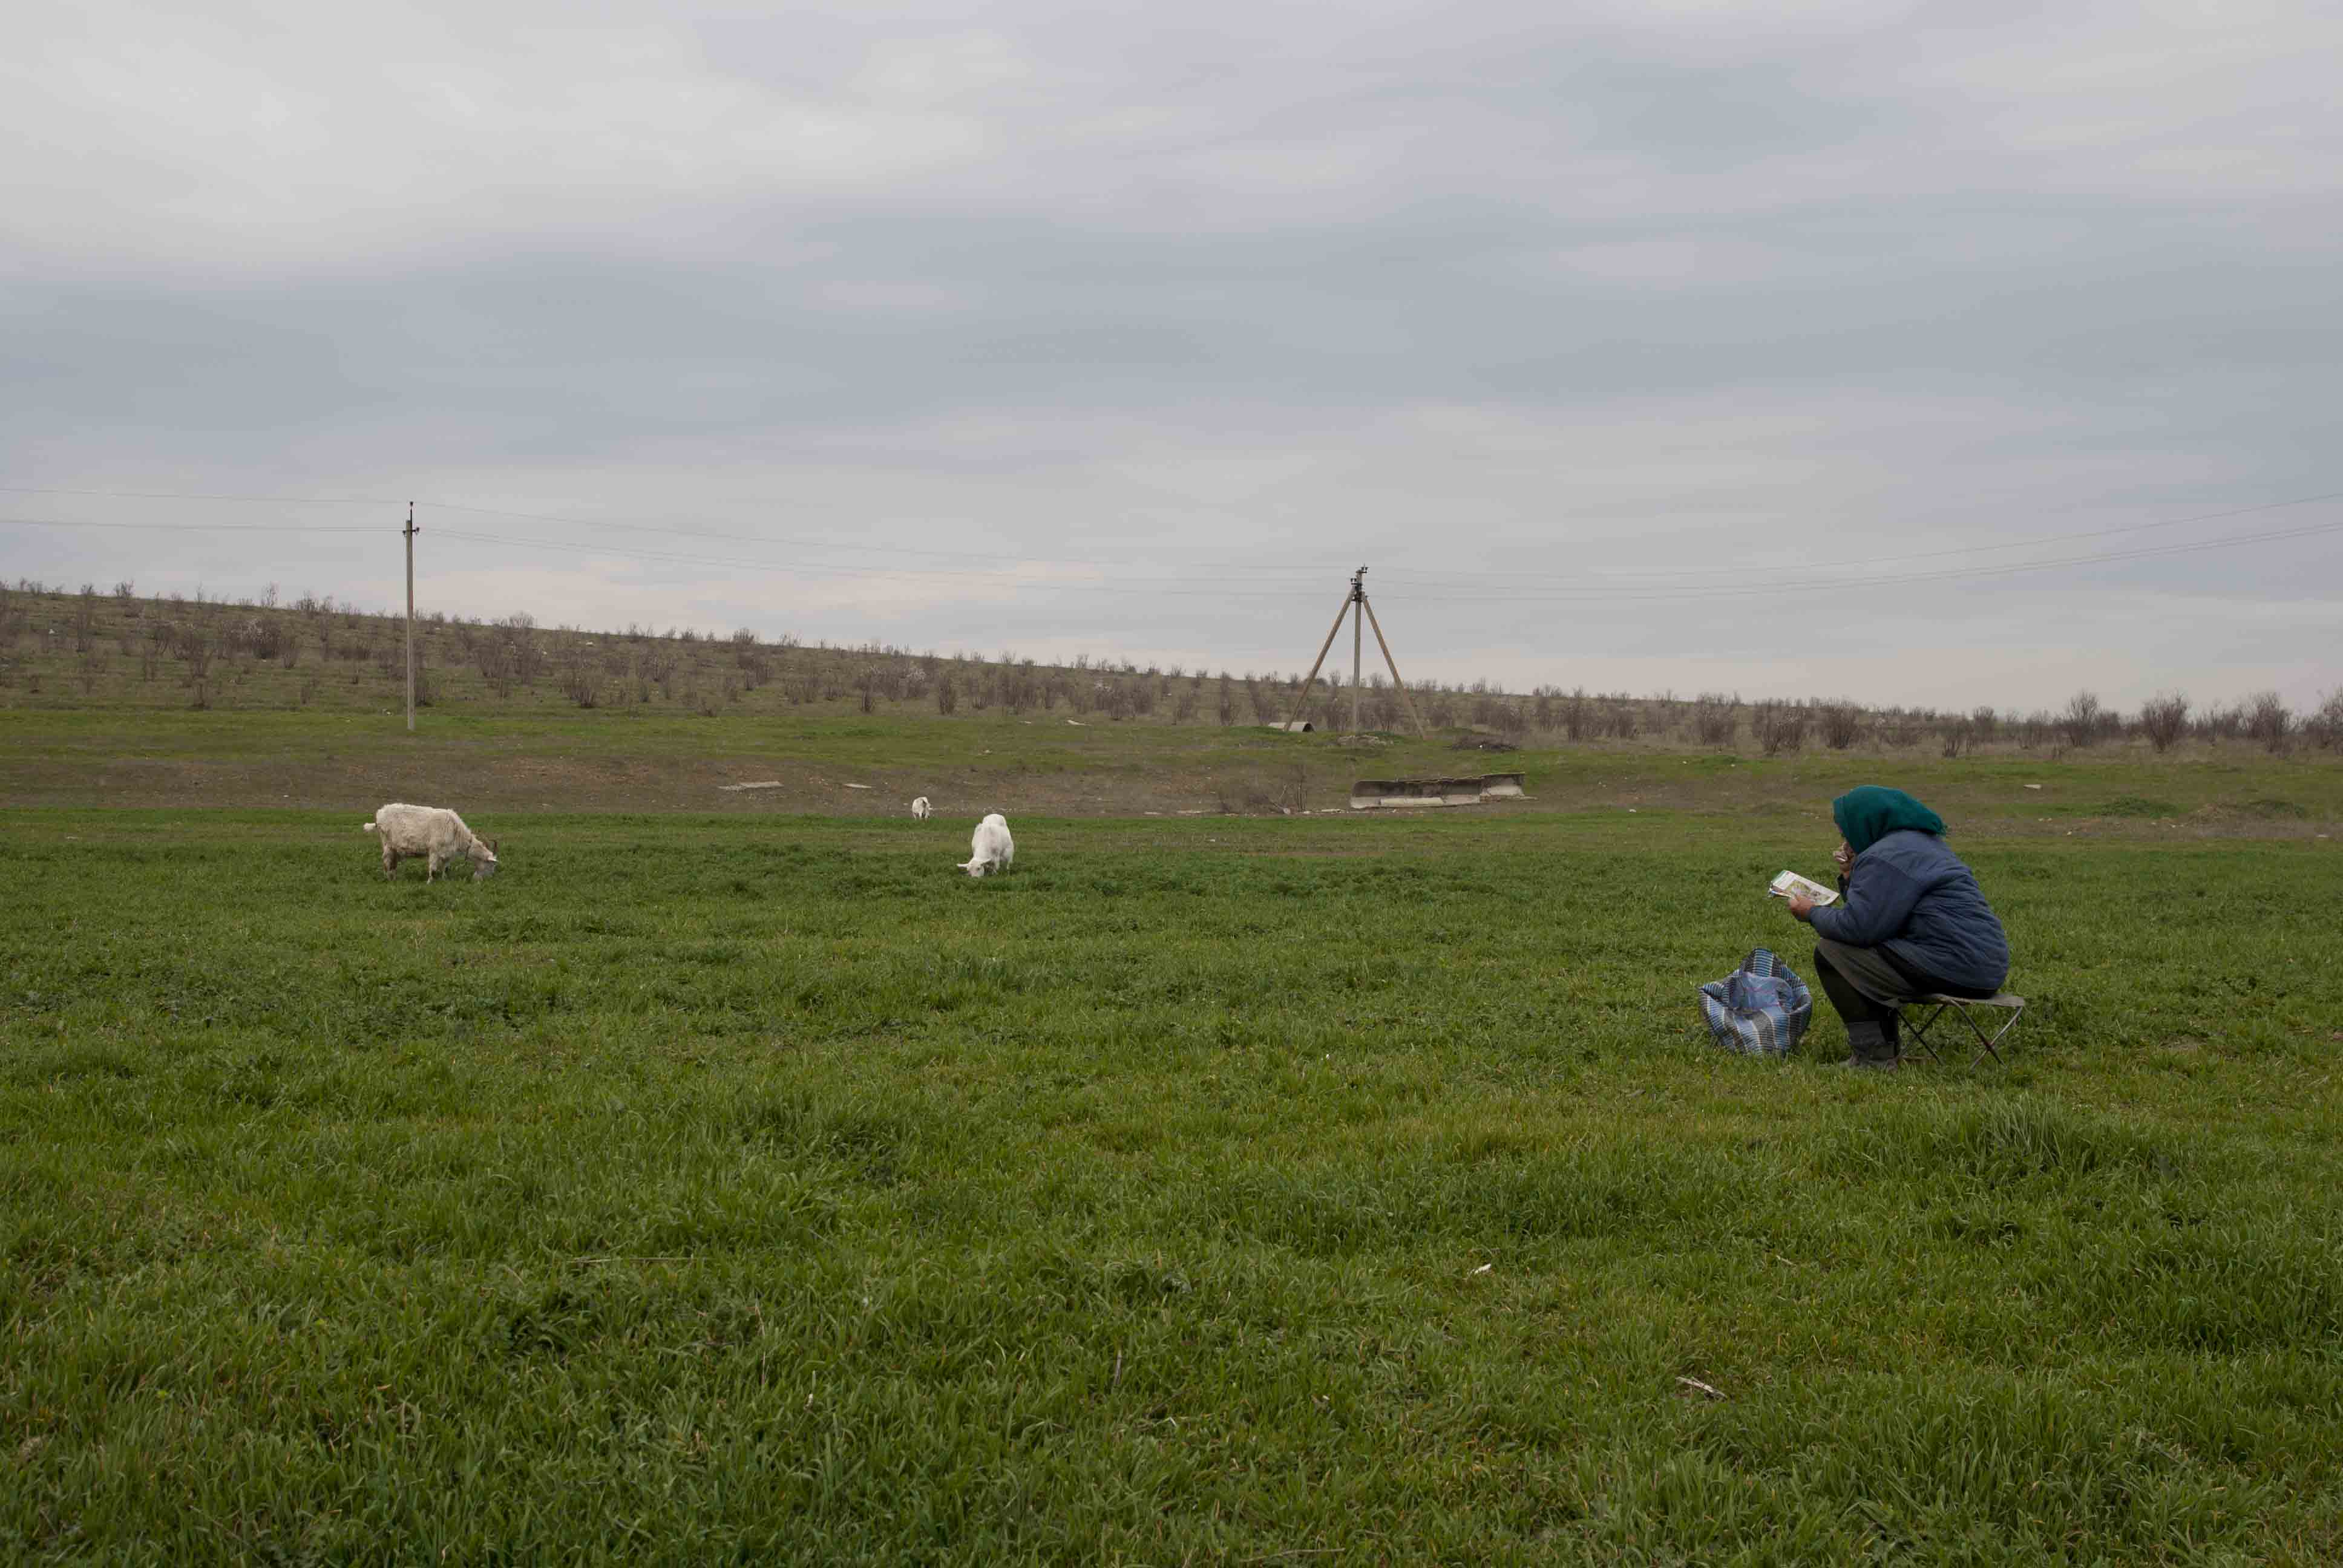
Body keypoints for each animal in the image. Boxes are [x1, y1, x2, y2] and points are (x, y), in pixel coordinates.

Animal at [361, 802, 499, 877]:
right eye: (491, 864)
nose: (491, 876)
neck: (456, 831)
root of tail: (379, 815)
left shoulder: (447, 854)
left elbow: (446, 869)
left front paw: (444, 880)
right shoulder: (434, 850)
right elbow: (432, 869)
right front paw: (430, 882)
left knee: (392, 862)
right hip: (388, 843)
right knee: (386, 861)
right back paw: (389, 878)